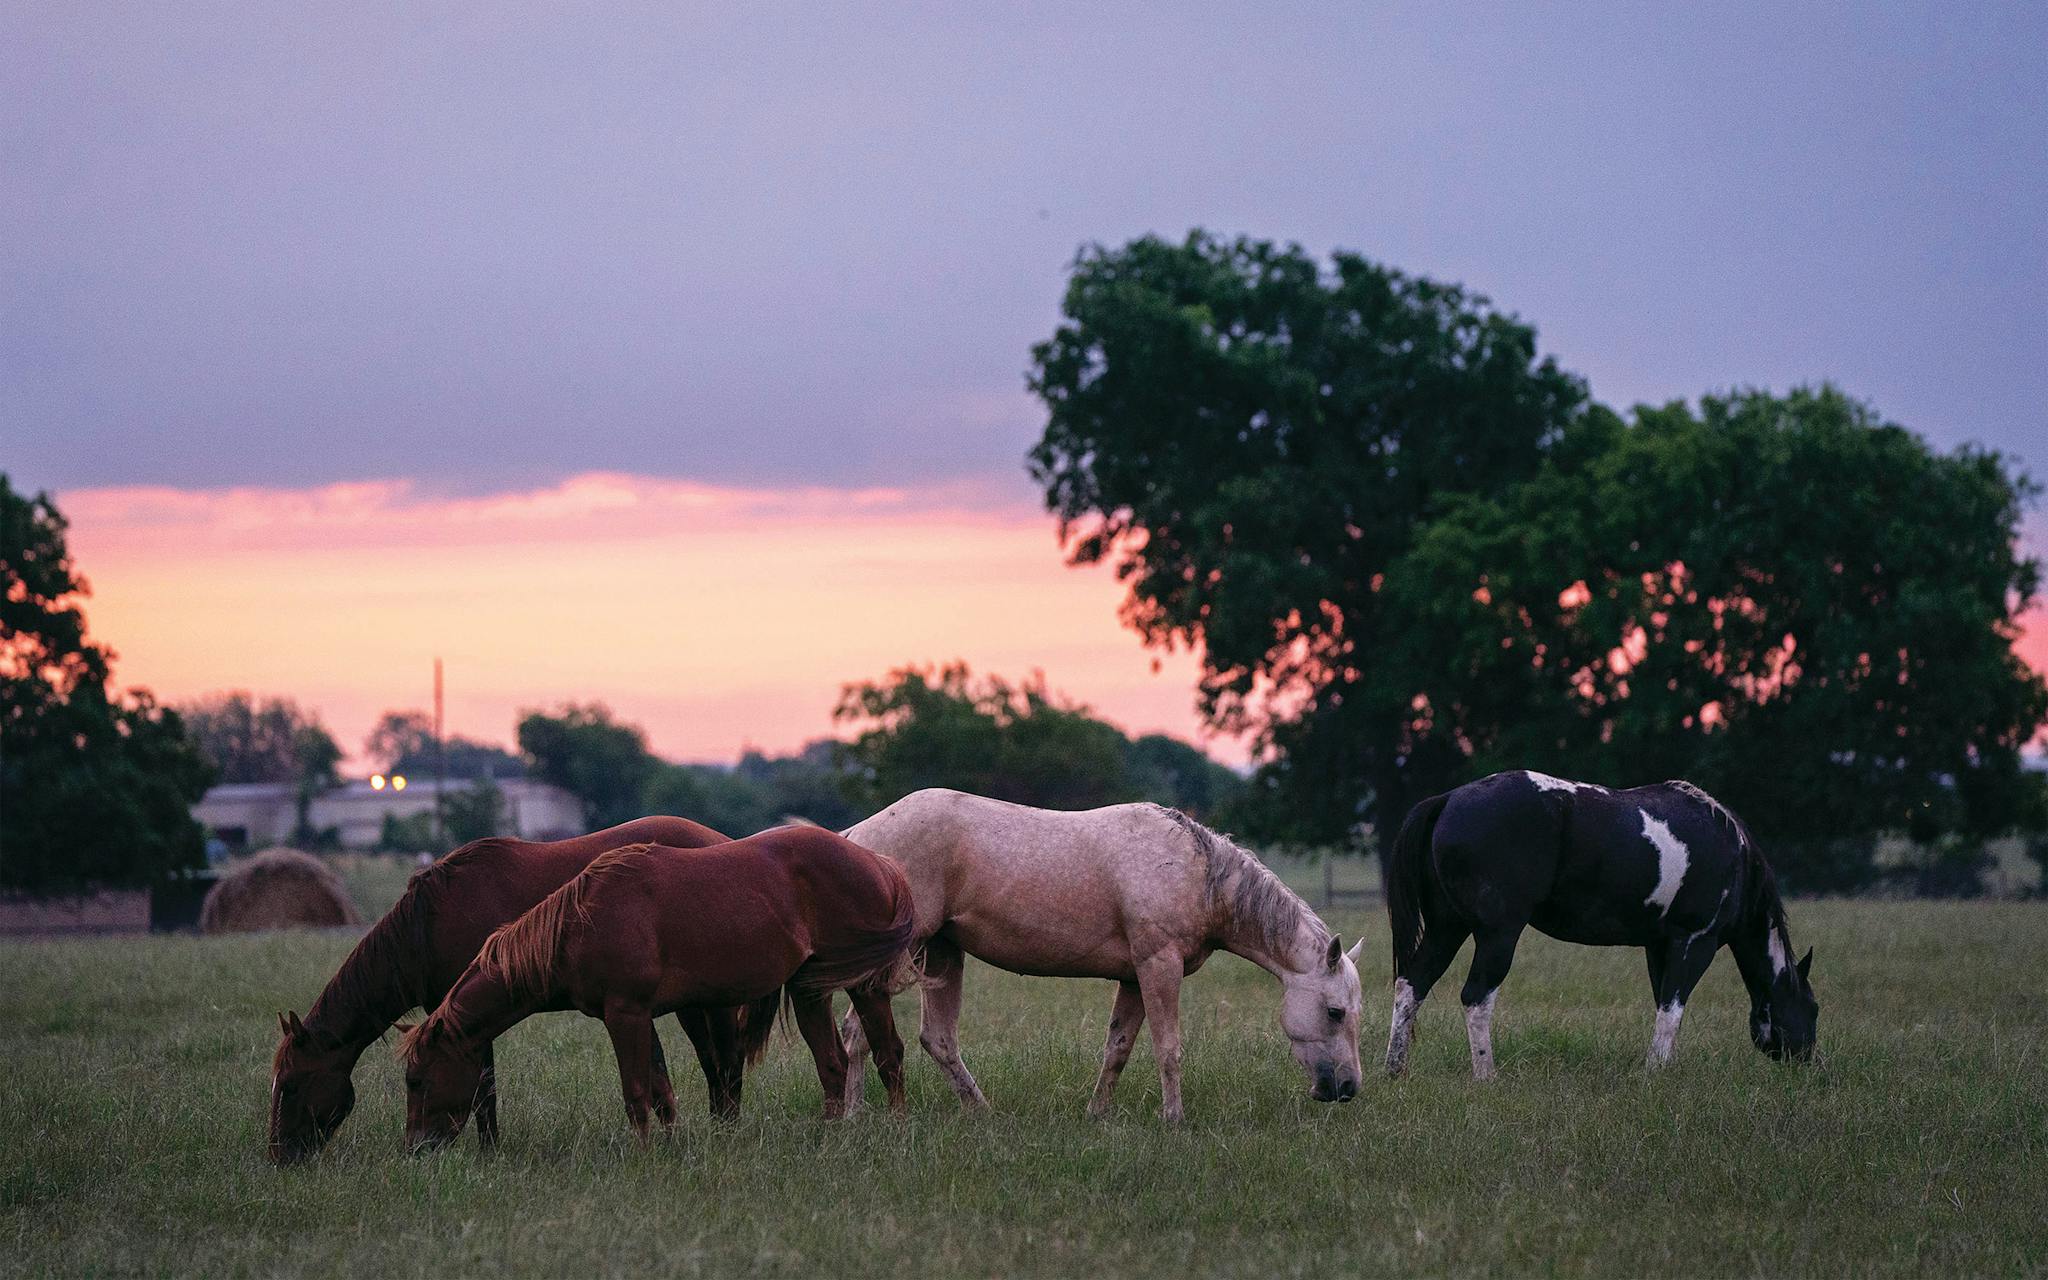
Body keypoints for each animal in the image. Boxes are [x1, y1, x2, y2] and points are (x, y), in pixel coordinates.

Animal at [268, 816, 744, 1164]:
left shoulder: (465, 1021)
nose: (279, 1157)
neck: (427, 926)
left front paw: (488, 1154)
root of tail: (722, 840)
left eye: (290, 1085)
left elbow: (485, 1092)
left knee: (724, 1065)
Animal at [398, 826, 917, 1150]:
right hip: (810, 989)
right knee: (832, 1064)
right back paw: (833, 1138)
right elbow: (658, 1087)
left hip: (864, 984)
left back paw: (897, 1127)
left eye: (416, 1080)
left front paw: (643, 1157)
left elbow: (636, 1093)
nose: (416, 1150)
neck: (583, 922)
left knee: (888, 1053)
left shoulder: (625, 1014)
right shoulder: (636, 1015)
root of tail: (877, 861)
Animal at [835, 789, 1364, 1123]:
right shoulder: (1159, 967)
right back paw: (858, 1115)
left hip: (942, 953)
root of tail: (854, 836)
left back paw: (977, 1114)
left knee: (936, 1039)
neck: (1197, 874)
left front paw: (1097, 1114)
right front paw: (1175, 1119)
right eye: (1335, 1012)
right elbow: (1167, 1047)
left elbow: (1118, 1048)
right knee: (861, 1033)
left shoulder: (1134, 978)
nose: (1348, 1089)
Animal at [1381, 770, 1820, 1080]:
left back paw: (1394, 1071)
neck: (1732, 853)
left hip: (1447, 928)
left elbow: (1663, 1004)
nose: (1811, 1063)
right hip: (1497, 935)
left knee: (1412, 985)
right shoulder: (1696, 941)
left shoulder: (1659, 944)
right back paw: (1486, 1076)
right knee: (1476, 997)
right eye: (1813, 1009)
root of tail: (1448, 799)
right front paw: (1656, 1073)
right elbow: (1673, 1007)